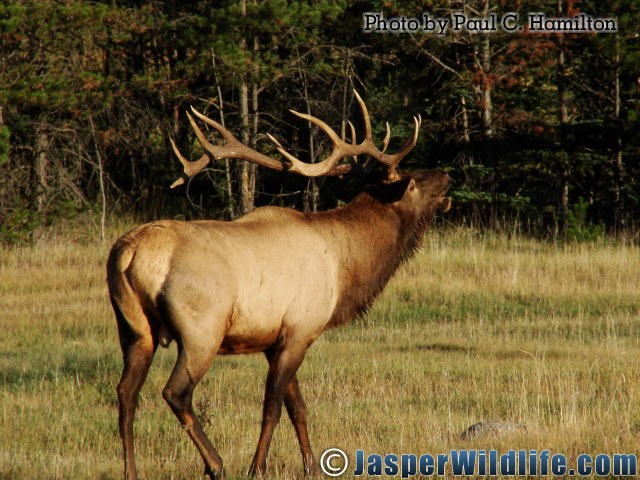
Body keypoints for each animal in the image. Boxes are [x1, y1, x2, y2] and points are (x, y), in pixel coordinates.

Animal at [109, 91, 450, 480]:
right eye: (413, 181)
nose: (447, 176)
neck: (347, 268)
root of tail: (130, 252)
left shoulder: (276, 339)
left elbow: (297, 407)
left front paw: (312, 466)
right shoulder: (300, 329)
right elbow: (272, 406)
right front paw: (257, 467)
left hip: (134, 329)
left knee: (126, 392)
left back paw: (131, 471)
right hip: (201, 330)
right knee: (175, 392)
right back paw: (216, 463)